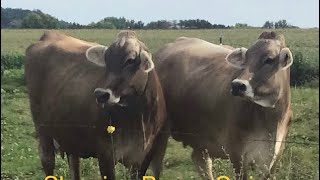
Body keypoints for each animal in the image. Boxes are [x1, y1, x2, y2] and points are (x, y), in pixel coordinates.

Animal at [24, 30, 168, 179]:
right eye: (106, 60)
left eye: (130, 61)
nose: (100, 94)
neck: (136, 118)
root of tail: (50, 34)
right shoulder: (106, 154)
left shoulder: (144, 158)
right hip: (42, 129)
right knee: (47, 160)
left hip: (70, 134)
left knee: (74, 164)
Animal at [154, 31, 292, 179]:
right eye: (246, 59)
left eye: (269, 59)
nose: (237, 85)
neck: (271, 119)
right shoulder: (237, 154)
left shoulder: (274, 158)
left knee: (200, 160)